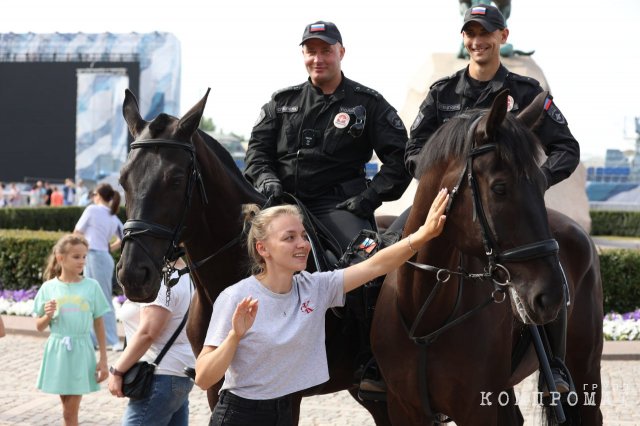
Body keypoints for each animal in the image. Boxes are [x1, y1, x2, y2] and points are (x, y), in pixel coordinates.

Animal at [372, 89, 604, 422]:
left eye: (543, 185)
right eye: (499, 188)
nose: (552, 297)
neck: (426, 314)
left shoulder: (477, 409)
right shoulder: (404, 407)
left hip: (585, 371)